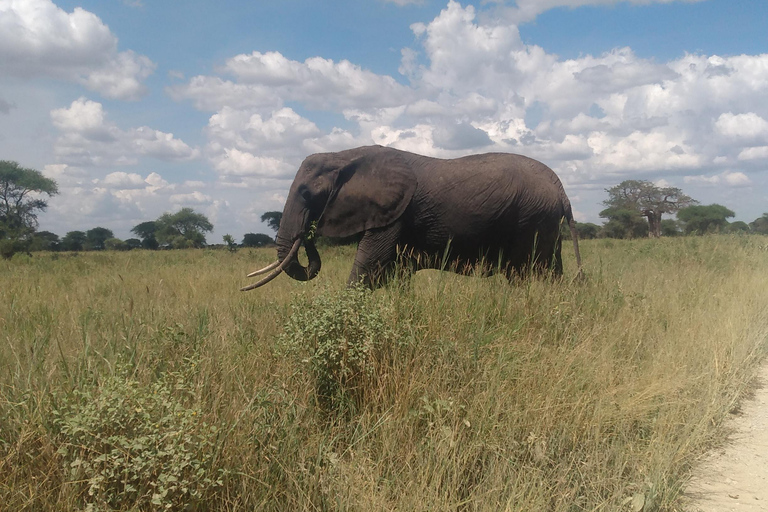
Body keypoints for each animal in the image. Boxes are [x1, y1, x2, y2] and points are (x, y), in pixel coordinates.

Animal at [246, 146, 584, 290]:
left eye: (306, 194)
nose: (308, 233)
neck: (342, 155)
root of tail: (561, 188)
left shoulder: (394, 213)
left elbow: (368, 268)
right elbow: (394, 273)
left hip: (532, 219)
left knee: (525, 275)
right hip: (545, 221)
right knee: (551, 271)